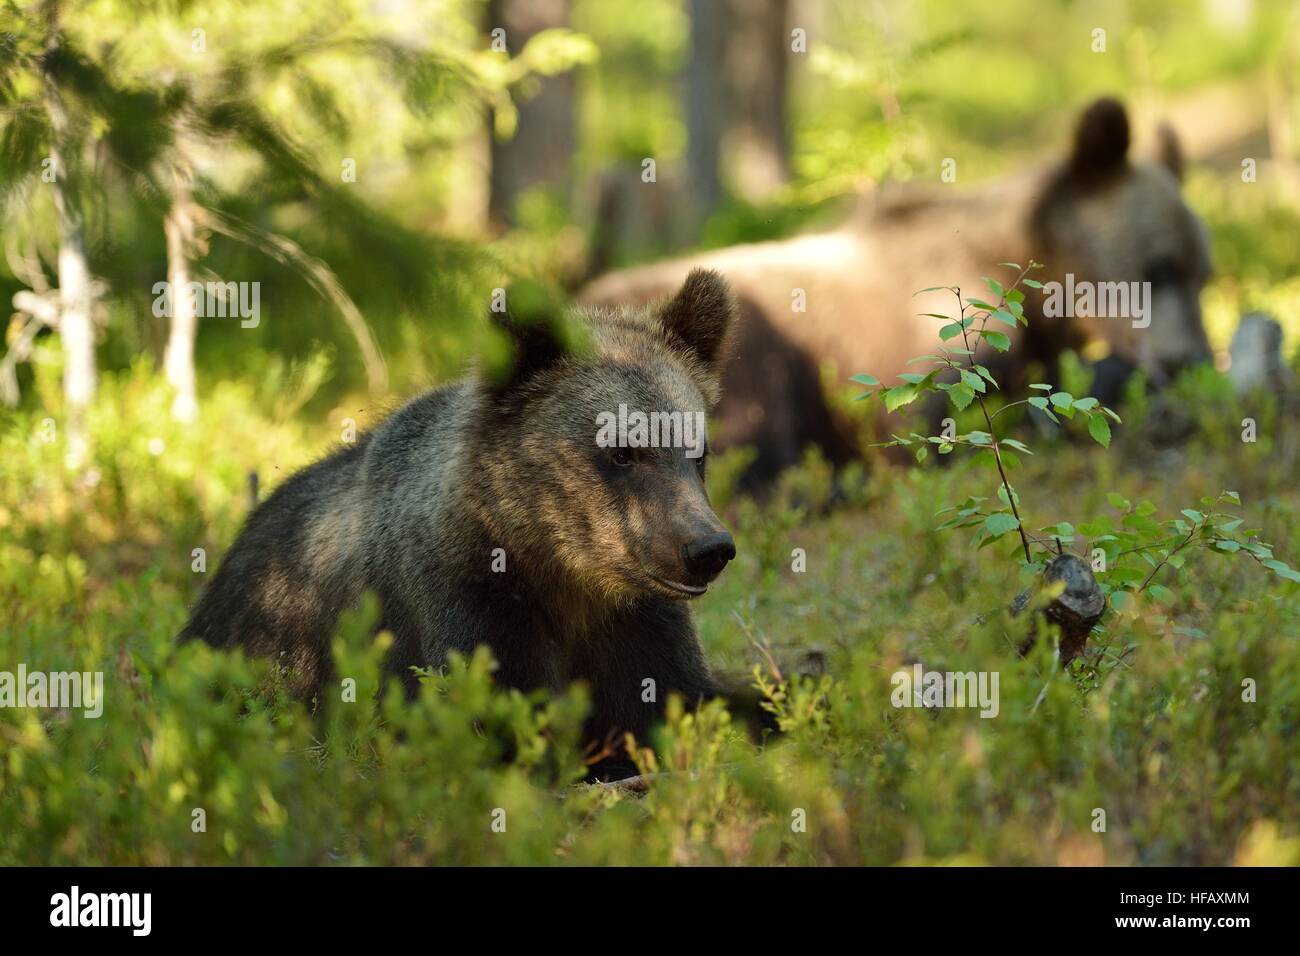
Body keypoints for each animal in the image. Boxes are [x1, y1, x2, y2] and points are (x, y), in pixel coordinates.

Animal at [180, 270, 743, 780]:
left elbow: (669, 700)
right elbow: (494, 718)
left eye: (696, 452)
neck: (562, 572)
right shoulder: (464, 600)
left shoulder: (637, 622)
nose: (706, 549)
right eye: (624, 451)